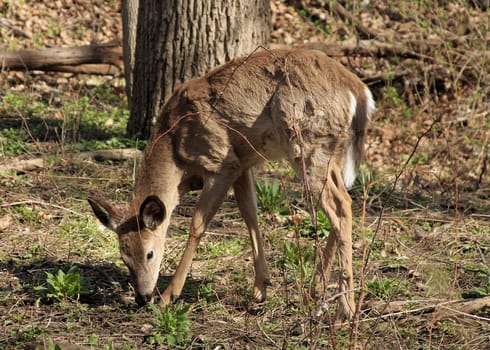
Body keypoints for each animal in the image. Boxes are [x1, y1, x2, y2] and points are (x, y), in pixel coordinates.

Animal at [87, 48, 376, 320]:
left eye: (149, 253)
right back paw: (317, 289)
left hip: (304, 140)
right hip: (328, 152)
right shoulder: (242, 163)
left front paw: (169, 296)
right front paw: (260, 288)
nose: (143, 297)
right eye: (123, 257)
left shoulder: (222, 162)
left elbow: (198, 225)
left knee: (340, 205)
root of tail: (358, 90)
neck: (176, 152)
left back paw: (346, 308)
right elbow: (250, 214)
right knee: (343, 201)